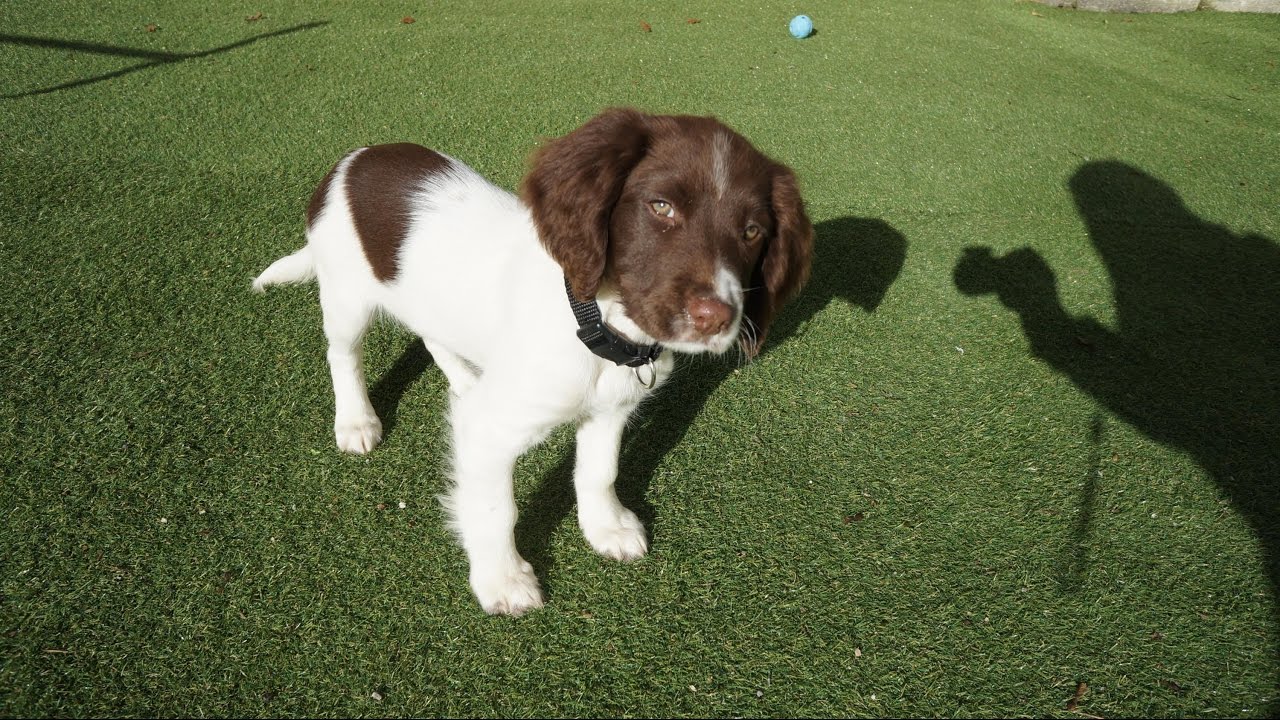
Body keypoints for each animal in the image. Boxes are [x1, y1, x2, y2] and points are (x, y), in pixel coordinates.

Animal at [254, 107, 814, 609]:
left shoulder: (611, 409)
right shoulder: (487, 430)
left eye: (752, 232)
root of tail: (350, 161)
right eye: (661, 206)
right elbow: (494, 507)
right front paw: (502, 581)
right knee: (342, 354)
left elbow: (599, 470)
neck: (595, 321)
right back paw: (356, 420)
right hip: (347, 294)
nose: (715, 317)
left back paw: (462, 377)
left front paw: (606, 527)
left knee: (431, 334)